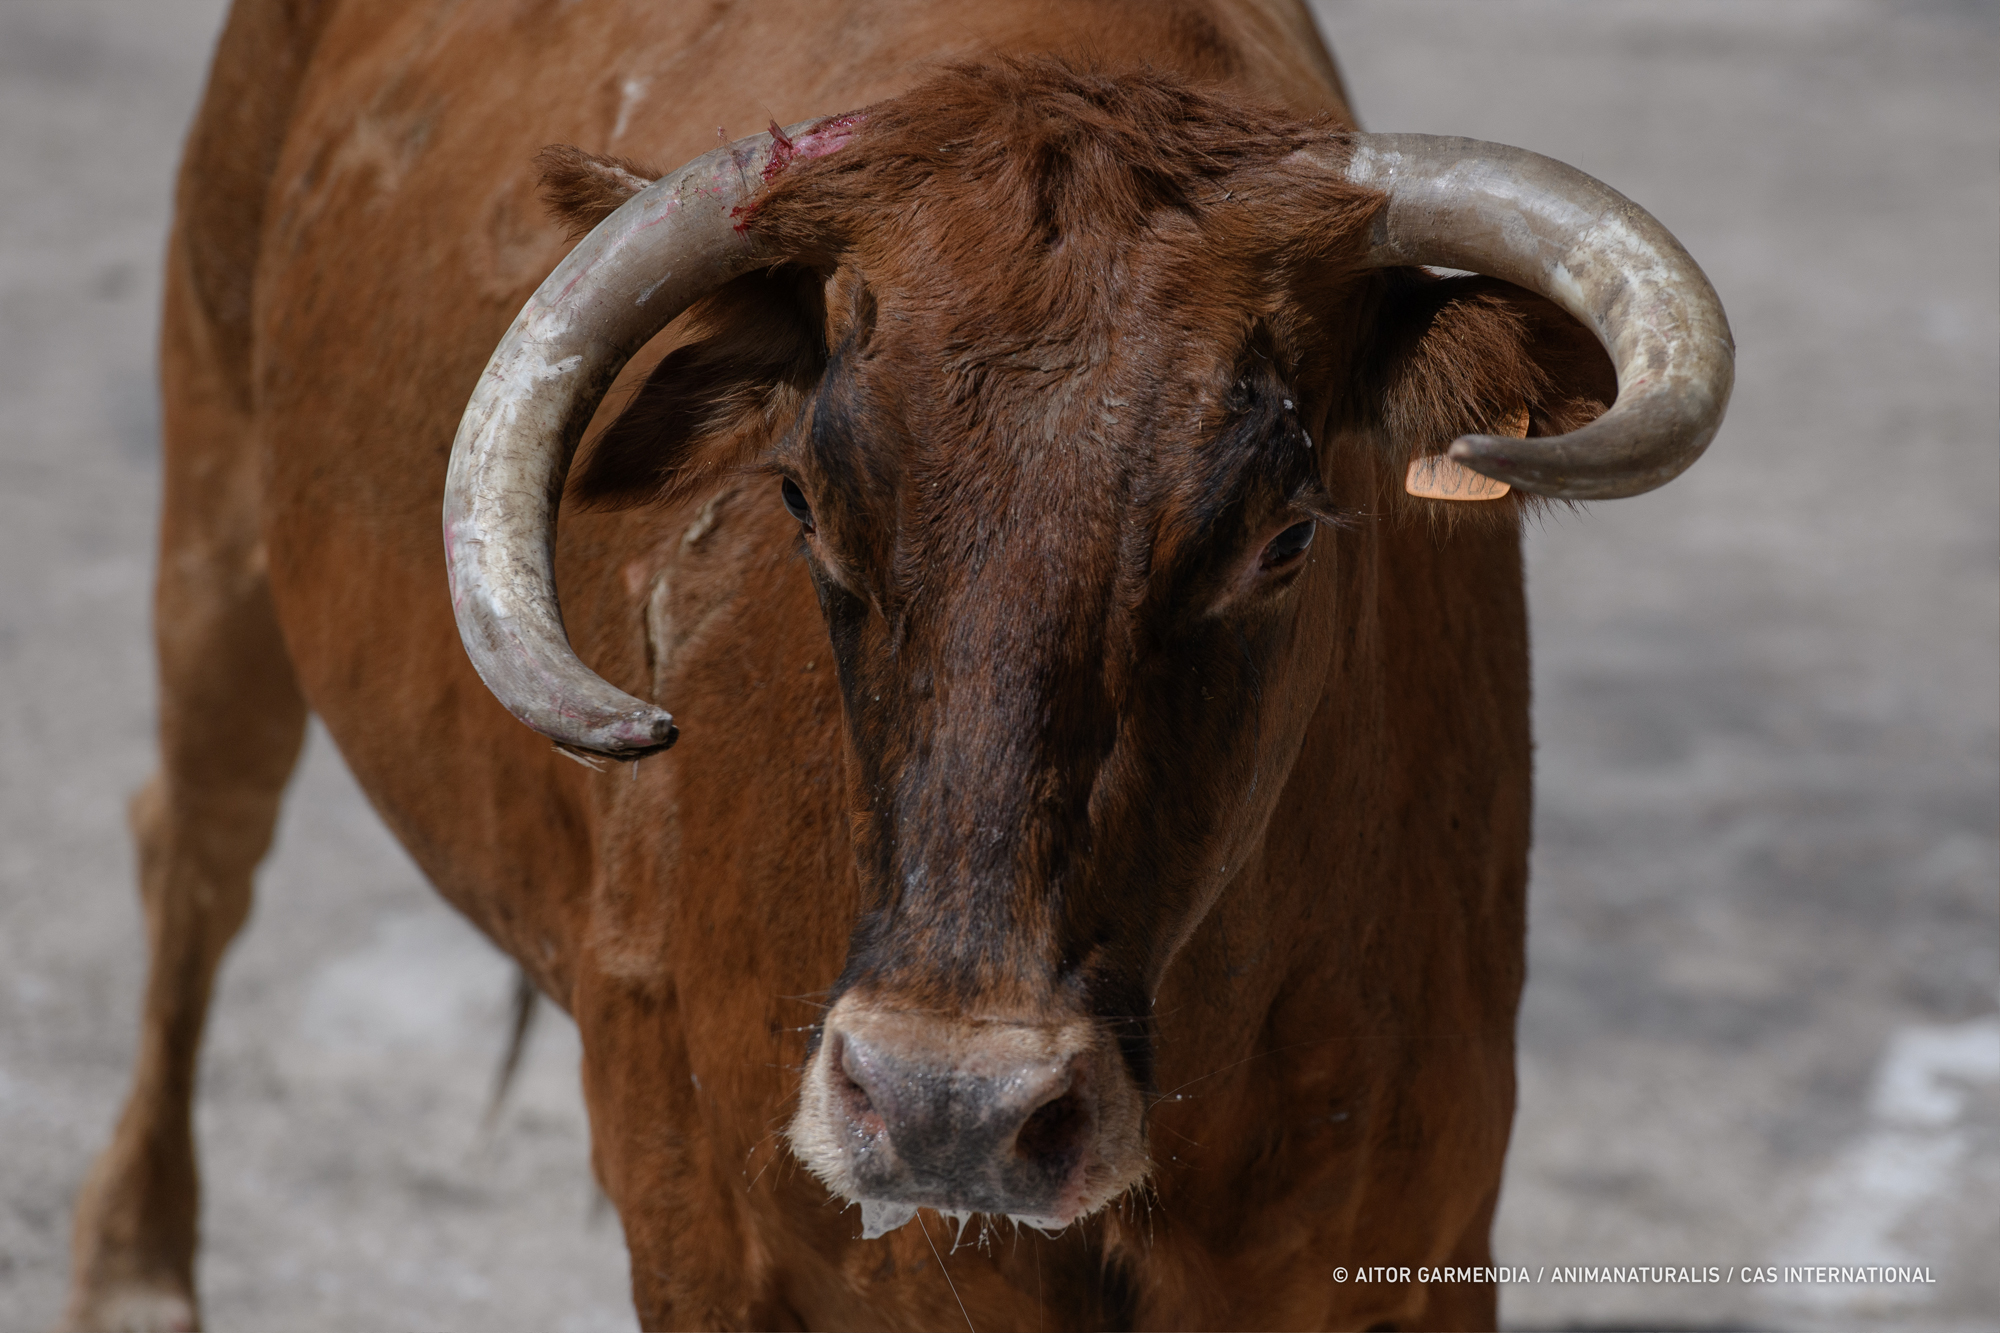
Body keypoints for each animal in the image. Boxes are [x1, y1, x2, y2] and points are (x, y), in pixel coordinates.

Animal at [58, 2, 1720, 1328]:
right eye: (804, 499)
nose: (951, 1108)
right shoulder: (709, 1247)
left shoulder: (1426, 1244)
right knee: (192, 850)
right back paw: (133, 1274)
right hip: (216, 517)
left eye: (1287, 534)